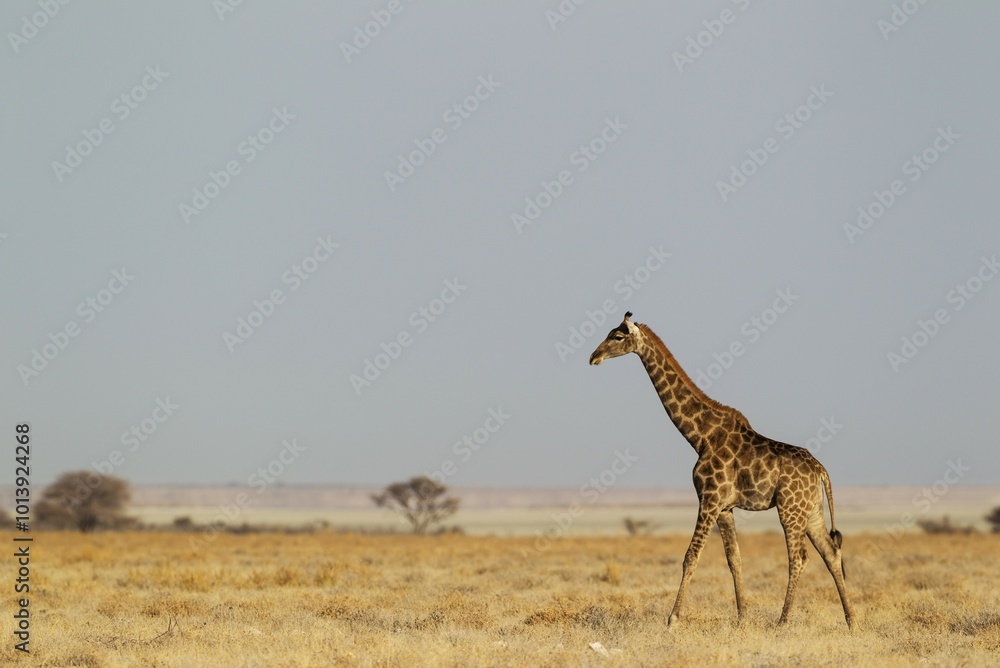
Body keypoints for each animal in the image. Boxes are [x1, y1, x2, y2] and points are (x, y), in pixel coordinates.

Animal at [589, 312, 854, 629]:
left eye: (617, 336)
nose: (593, 357)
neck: (700, 436)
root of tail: (821, 470)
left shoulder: (709, 498)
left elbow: (691, 555)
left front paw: (673, 619)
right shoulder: (725, 507)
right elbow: (734, 559)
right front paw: (742, 618)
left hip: (790, 509)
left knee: (799, 557)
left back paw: (783, 622)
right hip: (811, 510)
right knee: (831, 552)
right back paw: (851, 621)